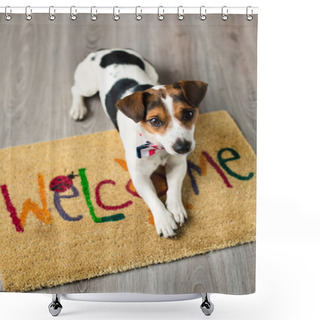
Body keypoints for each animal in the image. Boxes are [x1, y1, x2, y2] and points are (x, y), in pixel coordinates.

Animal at [69, 48, 208, 238]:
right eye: (155, 121)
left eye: (188, 114)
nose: (183, 148)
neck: (157, 146)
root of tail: (107, 50)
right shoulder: (138, 176)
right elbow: (153, 198)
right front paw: (164, 220)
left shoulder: (177, 164)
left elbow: (173, 188)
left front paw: (176, 208)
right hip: (88, 86)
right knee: (75, 89)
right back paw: (78, 108)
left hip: (152, 71)